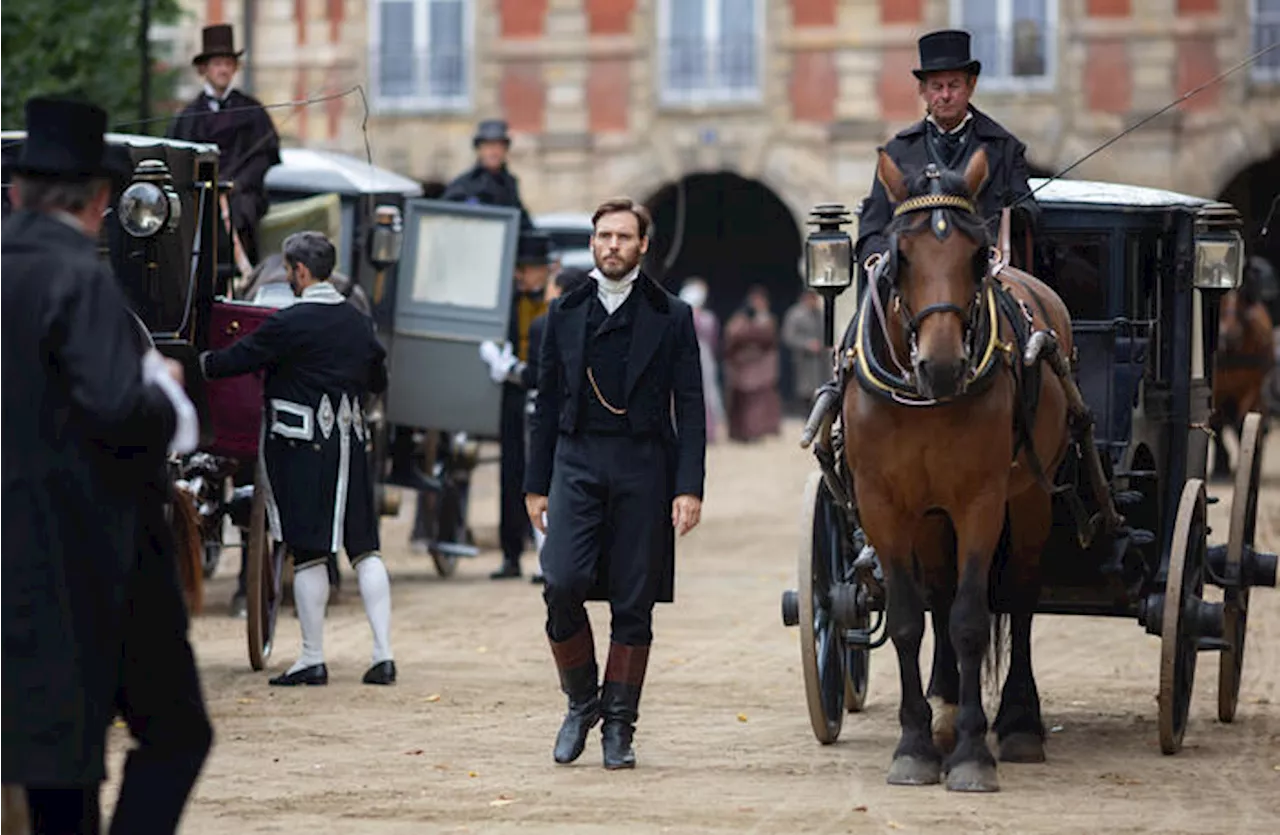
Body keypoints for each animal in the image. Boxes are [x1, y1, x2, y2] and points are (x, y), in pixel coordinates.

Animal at [844, 146, 1075, 794]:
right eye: (899, 256)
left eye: (977, 254)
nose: (943, 366)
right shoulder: (885, 505)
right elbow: (908, 618)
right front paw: (916, 744)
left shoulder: (981, 500)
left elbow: (972, 619)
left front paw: (973, 753)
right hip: (930, 516)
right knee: (940, 594)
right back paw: (944, 707)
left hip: (1029, 497)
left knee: (1019, 595)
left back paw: (1018, 720)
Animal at [1208, 280, 1269, 476]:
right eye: (1220, 304)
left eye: (1242, 304)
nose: (1229, 335)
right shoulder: (1217, 392)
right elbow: (1216, 423)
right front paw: (1221, 465)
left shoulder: (1253, 388)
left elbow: (1242, 420)